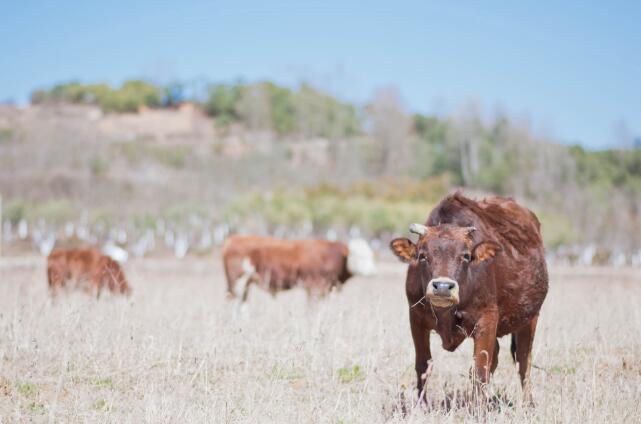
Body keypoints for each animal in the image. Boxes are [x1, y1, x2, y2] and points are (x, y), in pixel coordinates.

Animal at [221, 235, 376, 302]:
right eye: (358, 256)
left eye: (371, 256)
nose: (372, 271)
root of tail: (233, 238)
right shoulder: (315, 288)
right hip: (238, 281)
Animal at [388, 192, 548, 404]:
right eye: (422, 255)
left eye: (465, 256)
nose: (443, 287)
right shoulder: (416, 318)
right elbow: (423, 365)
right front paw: (421, 406)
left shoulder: (487, 319)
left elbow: (481, 371)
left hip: (530, 319)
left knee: (523, 361)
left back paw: (527, 403)